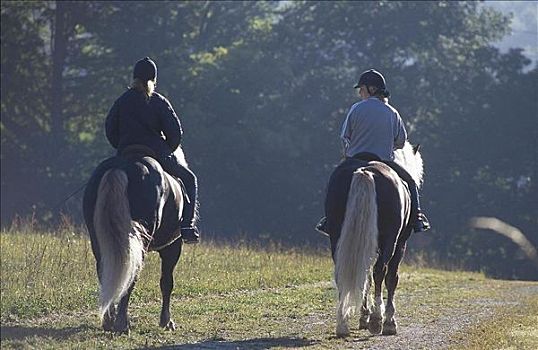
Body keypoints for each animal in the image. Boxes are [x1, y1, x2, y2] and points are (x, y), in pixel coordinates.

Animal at [82, 145, 192, 334]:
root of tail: (122, 166)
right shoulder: (173, 247)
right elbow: (167, 282)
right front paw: (166, 321)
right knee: (131, 275)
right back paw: (122, 324)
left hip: (98, 241)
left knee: (106, 271)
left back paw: (109, 321)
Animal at [330, 142, 422, 336]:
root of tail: (365, 171)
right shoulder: (400, 244)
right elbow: (392, 278)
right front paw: (388, 321)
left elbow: (365, 277)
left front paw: (363, 316)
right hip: (390, 240)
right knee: (380, 271)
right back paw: (377, 320)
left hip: (337, 236)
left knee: (345, 270)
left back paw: (342, 323)